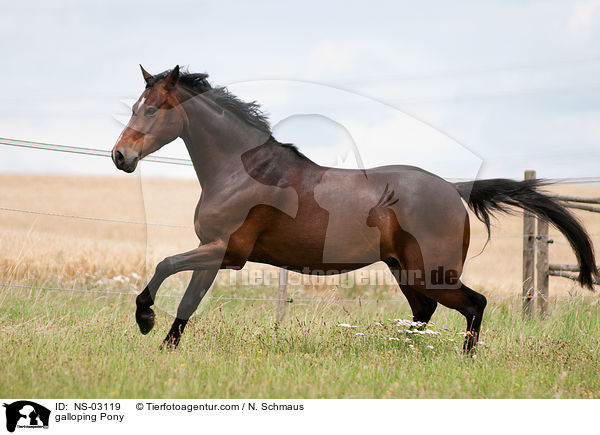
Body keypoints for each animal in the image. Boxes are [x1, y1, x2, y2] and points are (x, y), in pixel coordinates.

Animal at [110, 64, 596, 350]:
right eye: (134, 105)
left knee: (474, 304)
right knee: (424, 312)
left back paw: (463, 359)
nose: (120, 157)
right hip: (405, 270)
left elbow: (165, 266)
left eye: (152, 109)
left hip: (434, 273)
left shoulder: (226, 251)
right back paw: (407, 354)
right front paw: (165, 347)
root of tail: (454, 189)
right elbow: (187, 300)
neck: (242, 170)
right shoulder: (212, 252)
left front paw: (145, 320)